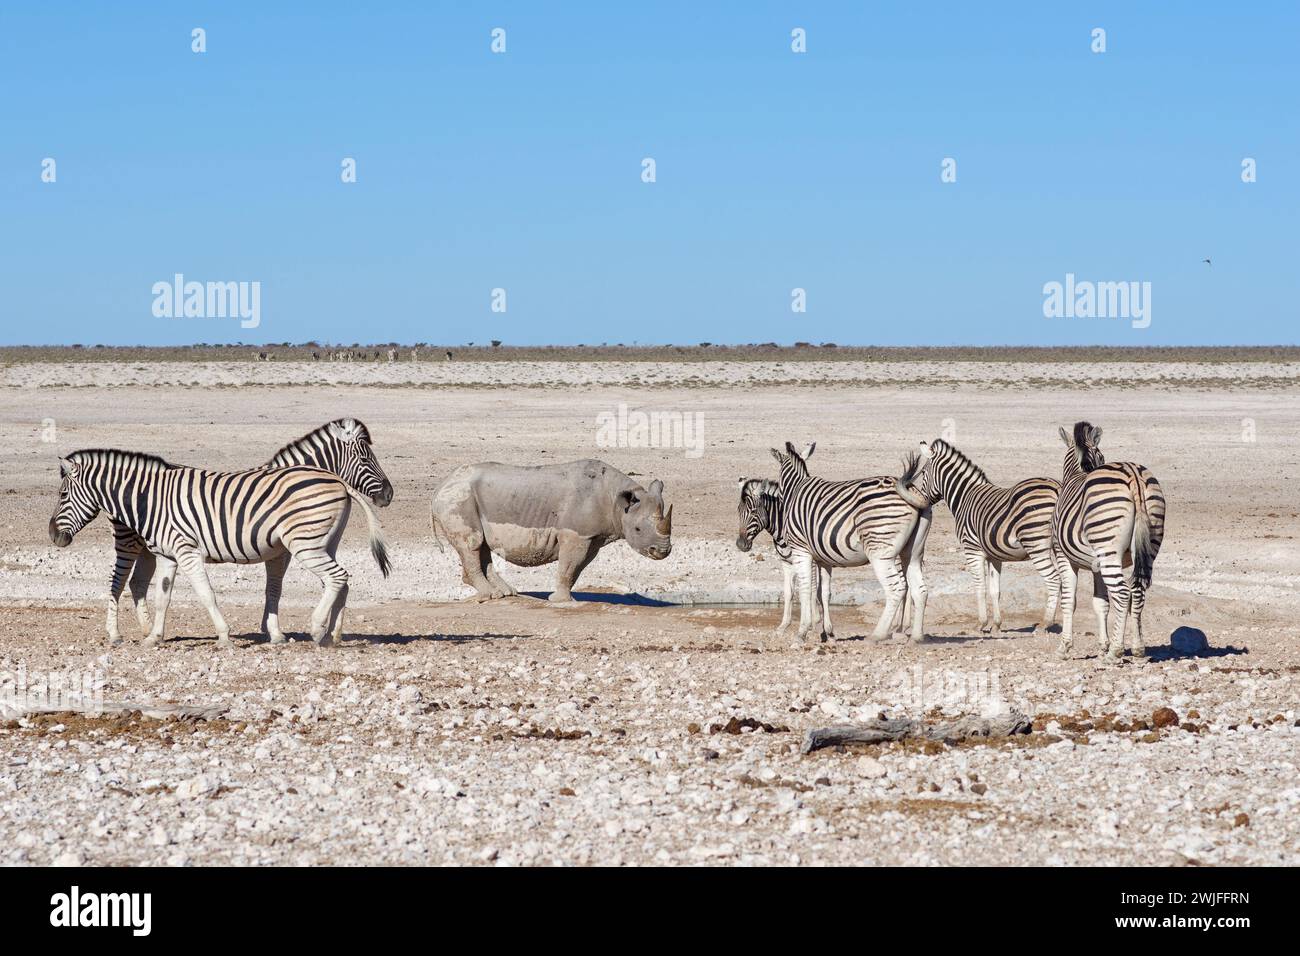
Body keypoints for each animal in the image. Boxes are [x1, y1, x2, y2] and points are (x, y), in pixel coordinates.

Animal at [53, 450, 387, 650]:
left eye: (63, 494)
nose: (53, 536)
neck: (151, 498)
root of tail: (339, 481)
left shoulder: (187, 550)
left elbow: (206, 594)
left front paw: (224, 636)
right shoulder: (168, 555)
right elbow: (163, 597)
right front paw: (155, 637)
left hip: (305, 543)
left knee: (337, 577)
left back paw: (318, 629)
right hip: (326, 542)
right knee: (344, 580)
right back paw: (333, 636)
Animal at [738, 476, 826, 634]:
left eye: (753, 511)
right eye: (738, 511)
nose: (740, 544)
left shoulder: (809, 560)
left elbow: (810, 588)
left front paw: (814, 622)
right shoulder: (786, 562)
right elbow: (788, 592)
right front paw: (784, 625)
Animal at [764, 442, 930, 642]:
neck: (795, 488)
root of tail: (907, 487)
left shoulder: (800, 549)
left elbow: (805, 589)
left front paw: (802, 632)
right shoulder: (822, 558)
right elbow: (822, 592)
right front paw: (825, 632)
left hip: (880, 550)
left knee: (896, 588)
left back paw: (877, 635)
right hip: (913, 552)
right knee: (920, 590)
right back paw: (916, 637)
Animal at [899, 442, 1060, 634]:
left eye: (923, 472)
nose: (921, 503)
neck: (964, 497)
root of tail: (1058, 488)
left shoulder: (972, 549)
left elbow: (980, 587)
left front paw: (981, 623)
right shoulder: (995, 555)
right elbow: (995, 590)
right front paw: (996, 624)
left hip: (1036, 544)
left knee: (1053, 579)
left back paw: (1045, 623)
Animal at [1055, 421, 1170, 660]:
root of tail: (1134, 476)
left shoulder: (1063, 556)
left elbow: (1069, 600)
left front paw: (1064, 647)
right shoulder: (1096, 564)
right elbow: (1101, 603)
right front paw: (1103, 645)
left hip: (1108, 549)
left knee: (1124, 593)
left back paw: (1116, 652)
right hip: (1149, 543)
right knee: (1137, 591)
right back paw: (1137, 648)